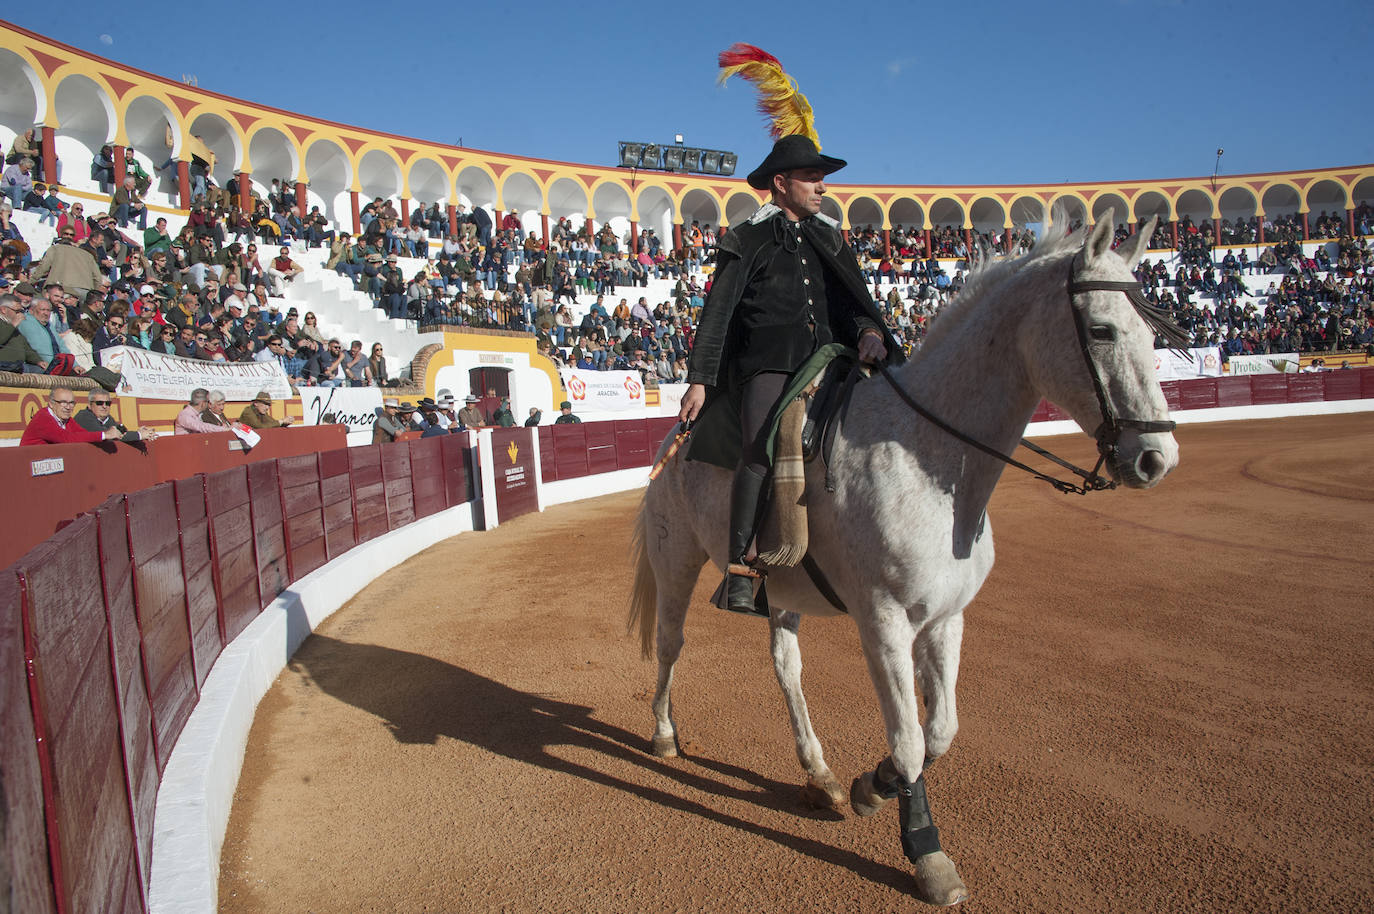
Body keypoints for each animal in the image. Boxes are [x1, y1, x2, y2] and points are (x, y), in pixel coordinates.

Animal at [629, 215, 1176, 907]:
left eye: (1154, 334)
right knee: (670, 644)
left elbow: (939, 729)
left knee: (786, 665)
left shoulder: (944, 618)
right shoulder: (883, 623)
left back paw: (822, 775)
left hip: (782, 591)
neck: (929, 457)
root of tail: (676, 435)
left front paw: (871, 788)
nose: (1157, 457)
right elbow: (911, 741)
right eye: (1102, 330)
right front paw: (923, 850)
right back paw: (665, 735)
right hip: (676, 560)